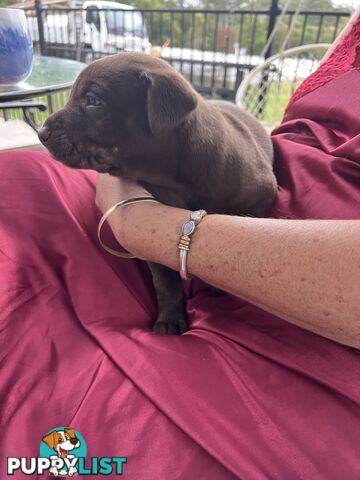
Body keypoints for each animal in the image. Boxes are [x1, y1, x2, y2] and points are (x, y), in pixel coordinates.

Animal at [38, 52, 278, 336]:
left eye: (94, 101)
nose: (41, 133)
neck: (173, 179)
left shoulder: (264, 193)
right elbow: (165, 280)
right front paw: (170, 318)